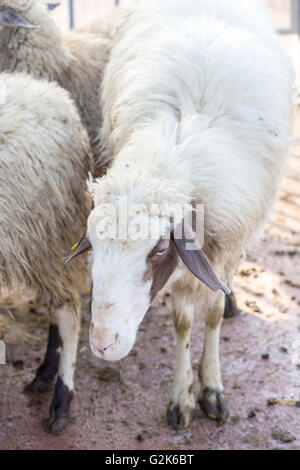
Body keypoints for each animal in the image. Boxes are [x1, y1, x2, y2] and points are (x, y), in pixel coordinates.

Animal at [71, 0, 296, 428]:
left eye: (160, 249)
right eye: (93, 245)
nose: (104, 345)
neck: (172, 154)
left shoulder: (226, 242)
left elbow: (210, 316)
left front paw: (211, 387)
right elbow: (183, 322)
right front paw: (182, 395)